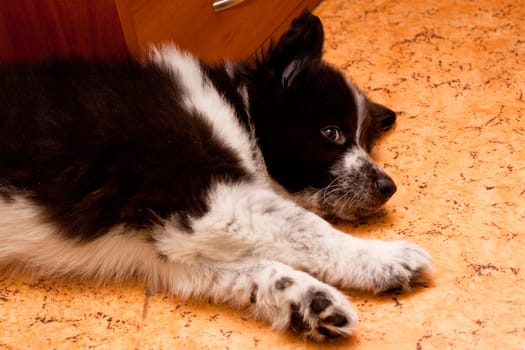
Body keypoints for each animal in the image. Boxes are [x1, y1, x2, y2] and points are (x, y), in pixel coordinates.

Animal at [0, 13, 430, 342]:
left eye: (364, 142)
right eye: (331, 133)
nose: (388, 187)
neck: (235, 112)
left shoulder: (168, 245)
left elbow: (253, 270)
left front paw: (310, 304)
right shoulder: (200, 198)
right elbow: (307, 227)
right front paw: (386, 258)